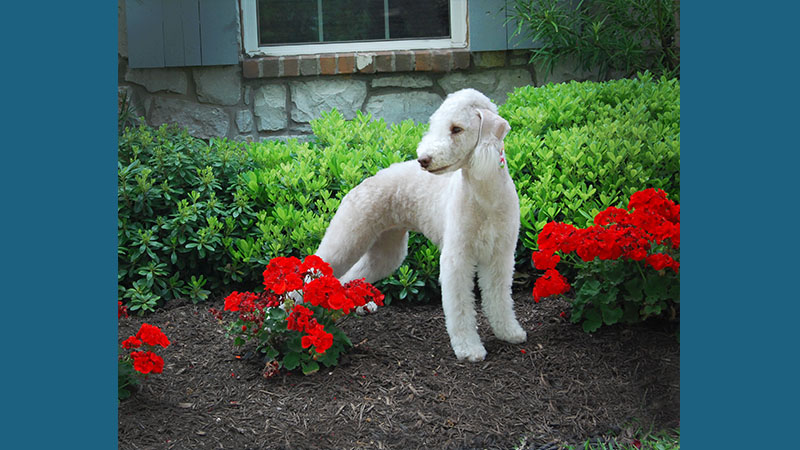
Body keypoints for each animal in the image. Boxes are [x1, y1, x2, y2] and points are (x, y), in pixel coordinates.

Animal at [316, 89, 528, 362]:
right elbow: (460, 308)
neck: (484, 197)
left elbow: (500, 298)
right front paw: (469, 349)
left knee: (352, 276)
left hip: (388, 249)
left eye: (457, 129)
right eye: (435, 125)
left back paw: (356, 304)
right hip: (348, 236)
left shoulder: (500, 256)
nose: (423, 160)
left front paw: (509, 332)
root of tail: (361, 182)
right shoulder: (456, 258)